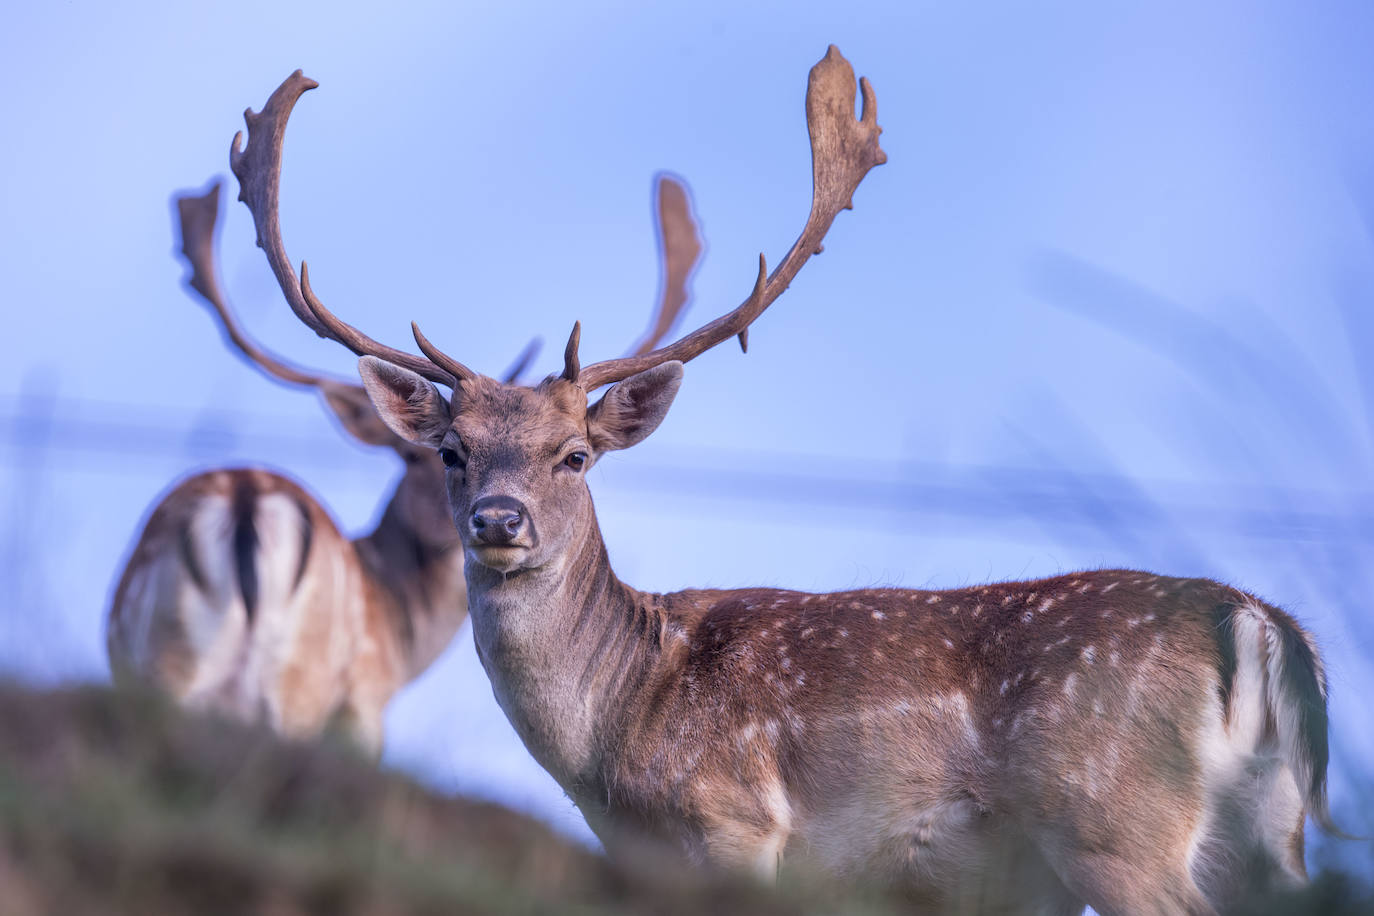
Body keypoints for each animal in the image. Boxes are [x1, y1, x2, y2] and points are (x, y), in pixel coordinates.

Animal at [105, 170, 703, 752]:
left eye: (576, 457)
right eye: (443, 453)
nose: (494, 520)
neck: (402, 643)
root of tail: (246, 500)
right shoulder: (364, 703)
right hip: (284, 682)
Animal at [233, 46, 1330, 911]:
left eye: (575, 455)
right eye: (451, 450)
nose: (500, 521)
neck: (615, 745)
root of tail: (1263, 626)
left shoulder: (735, 822)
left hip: (1112, 818)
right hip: (1271, 835)